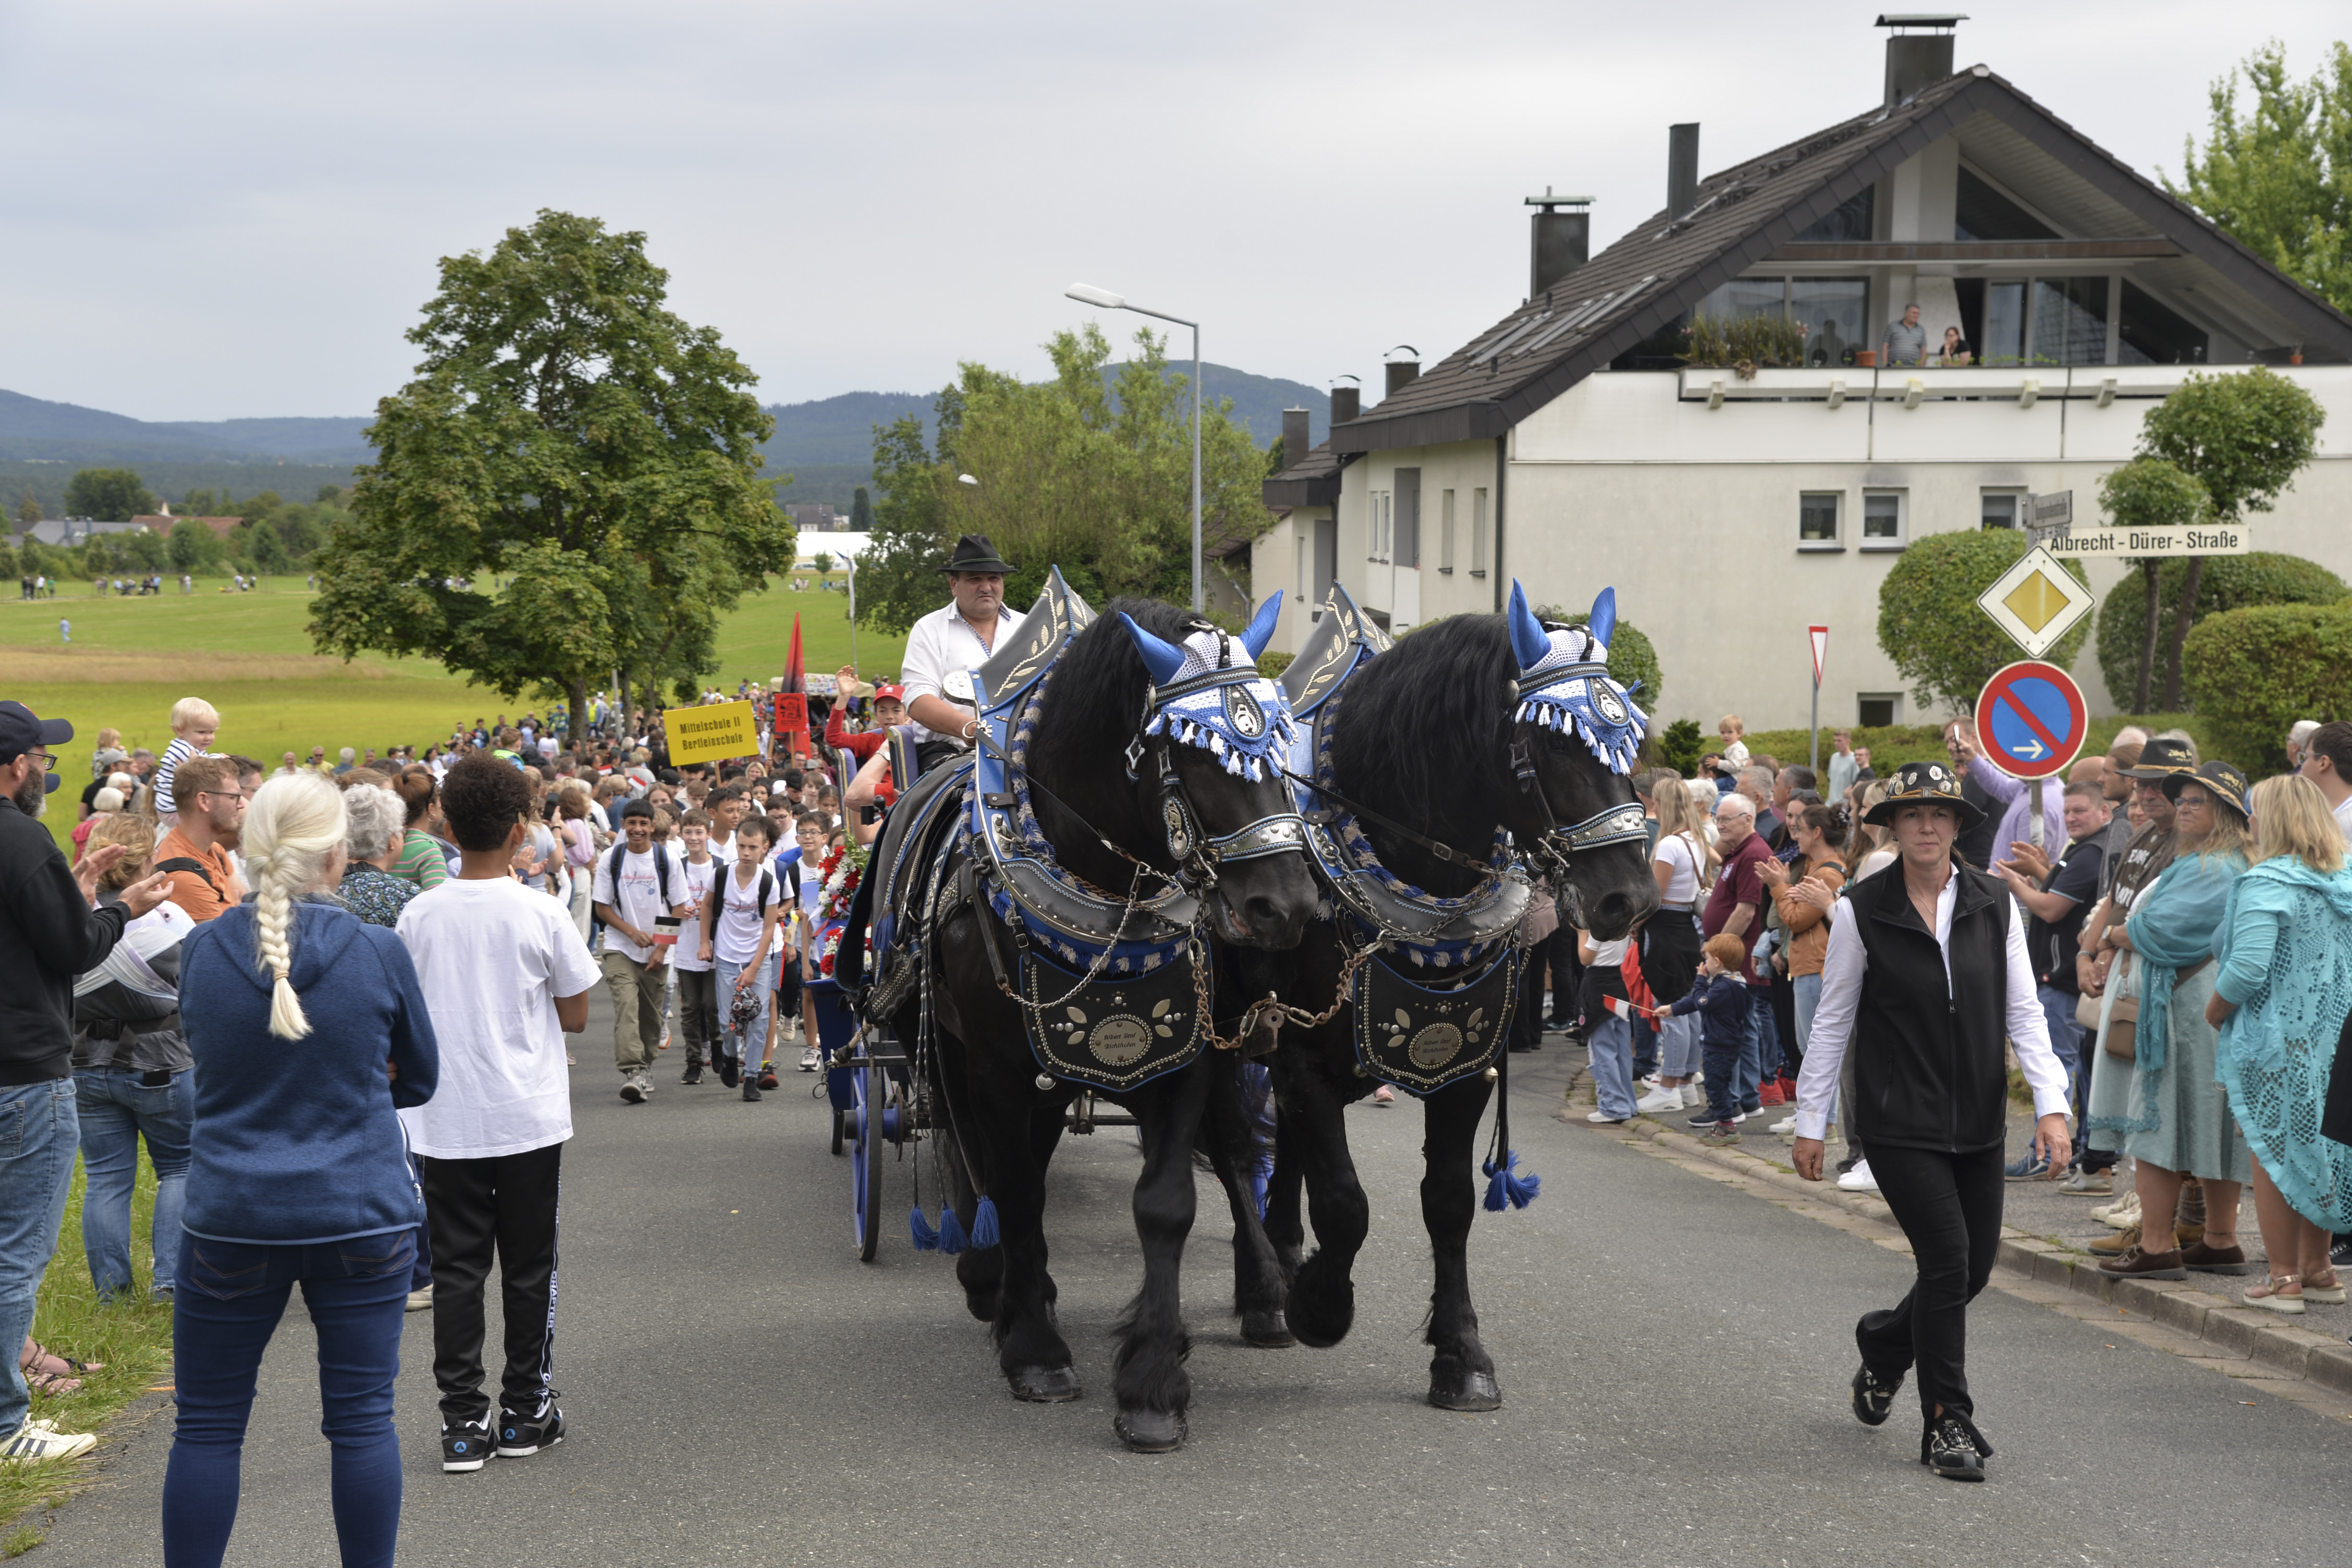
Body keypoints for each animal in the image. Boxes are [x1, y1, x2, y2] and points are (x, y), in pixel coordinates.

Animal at [889, 594, 1326, 1457]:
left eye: (1278, 749)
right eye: (1197, 756)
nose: (1287, 905)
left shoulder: (1181, 1056)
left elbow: (1166, 1204)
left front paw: (1153, 1384)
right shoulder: (995, 1068)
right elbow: (1015, 1191)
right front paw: (1035, 1350)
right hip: (954, 1050)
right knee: (975, 1153)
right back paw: (992, 1280)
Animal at [1242, 585, 1665, 1410]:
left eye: (1630, 736)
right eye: (1554, 745)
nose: (1626, 898)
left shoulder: (1464, 1061)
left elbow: (1448, 1201)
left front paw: (1461, 1352)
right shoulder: (1300, 1049)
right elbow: (1346, 1202)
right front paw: (1321, 1304)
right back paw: (1267, 1289)